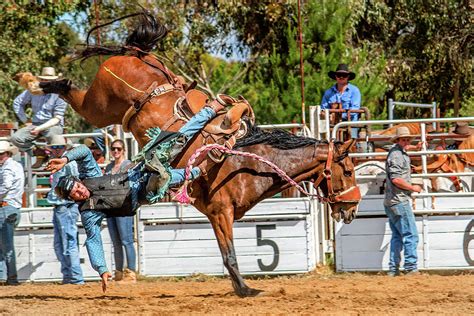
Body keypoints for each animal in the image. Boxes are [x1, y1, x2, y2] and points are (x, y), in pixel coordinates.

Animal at [15, 10, 362, 296]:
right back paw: (31, 84)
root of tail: (136, 54)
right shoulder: (221, 212)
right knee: (65, 85)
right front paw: (246, 290)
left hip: (106, 107)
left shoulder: (216, 213)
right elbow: (229, 254)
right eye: (347, 171)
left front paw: (242, 288)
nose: (353, 208)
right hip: (98, 106)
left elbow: (227, 253)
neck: (246, 161)